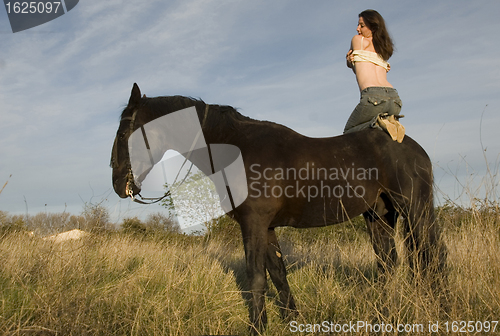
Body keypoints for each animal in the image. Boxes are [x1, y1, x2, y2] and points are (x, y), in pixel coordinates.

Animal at [111, 83, 448, 334]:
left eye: (124, 133)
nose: (117, 182)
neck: (239, 148)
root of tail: (414, 148)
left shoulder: (254, 223)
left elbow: (256, 277)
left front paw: (257, 328)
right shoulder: (267, 227)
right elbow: (278, 274)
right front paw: (292, 321)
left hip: (416, 209)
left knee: (433, 255)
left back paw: (440, 311)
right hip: (379, 216)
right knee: (389, 263)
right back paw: (385, 315)